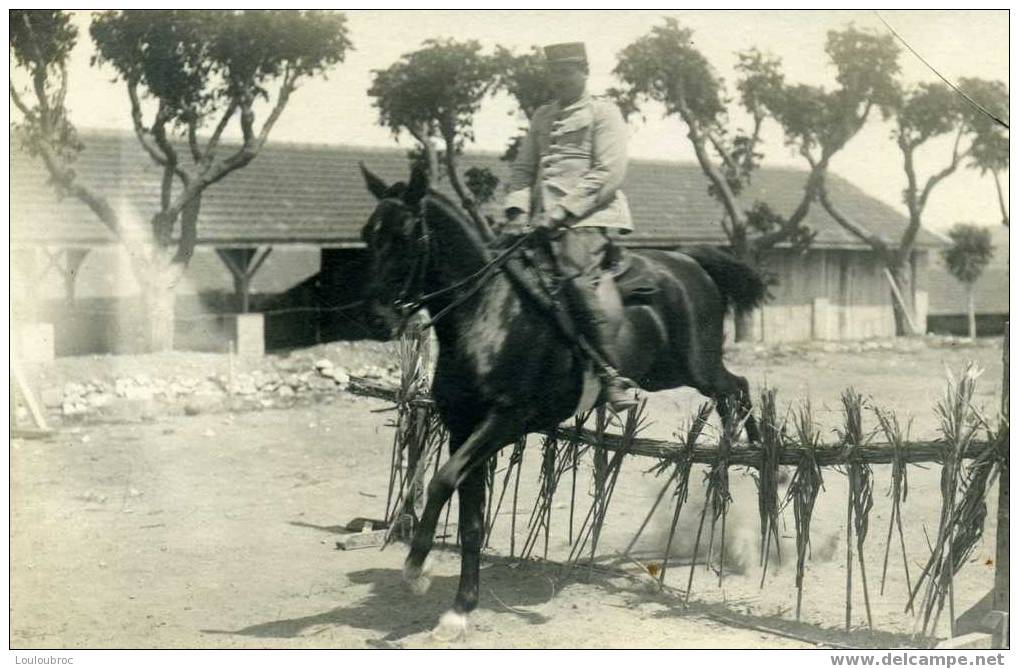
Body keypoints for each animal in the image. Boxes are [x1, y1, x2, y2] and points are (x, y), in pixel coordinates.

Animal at [358, 163, 766, 639]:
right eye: (368, 234)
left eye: (405, 234)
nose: (375, 318)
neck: (486, 315)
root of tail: (689, 261)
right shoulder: (463, 426)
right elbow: (470, 520)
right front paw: (459, 610)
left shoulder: (506, 419)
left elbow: (442, 482)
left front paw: (416, 570)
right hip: (667, 373)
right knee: (735, 391)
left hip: (697, 366)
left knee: (738, 388)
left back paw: (757, 457)